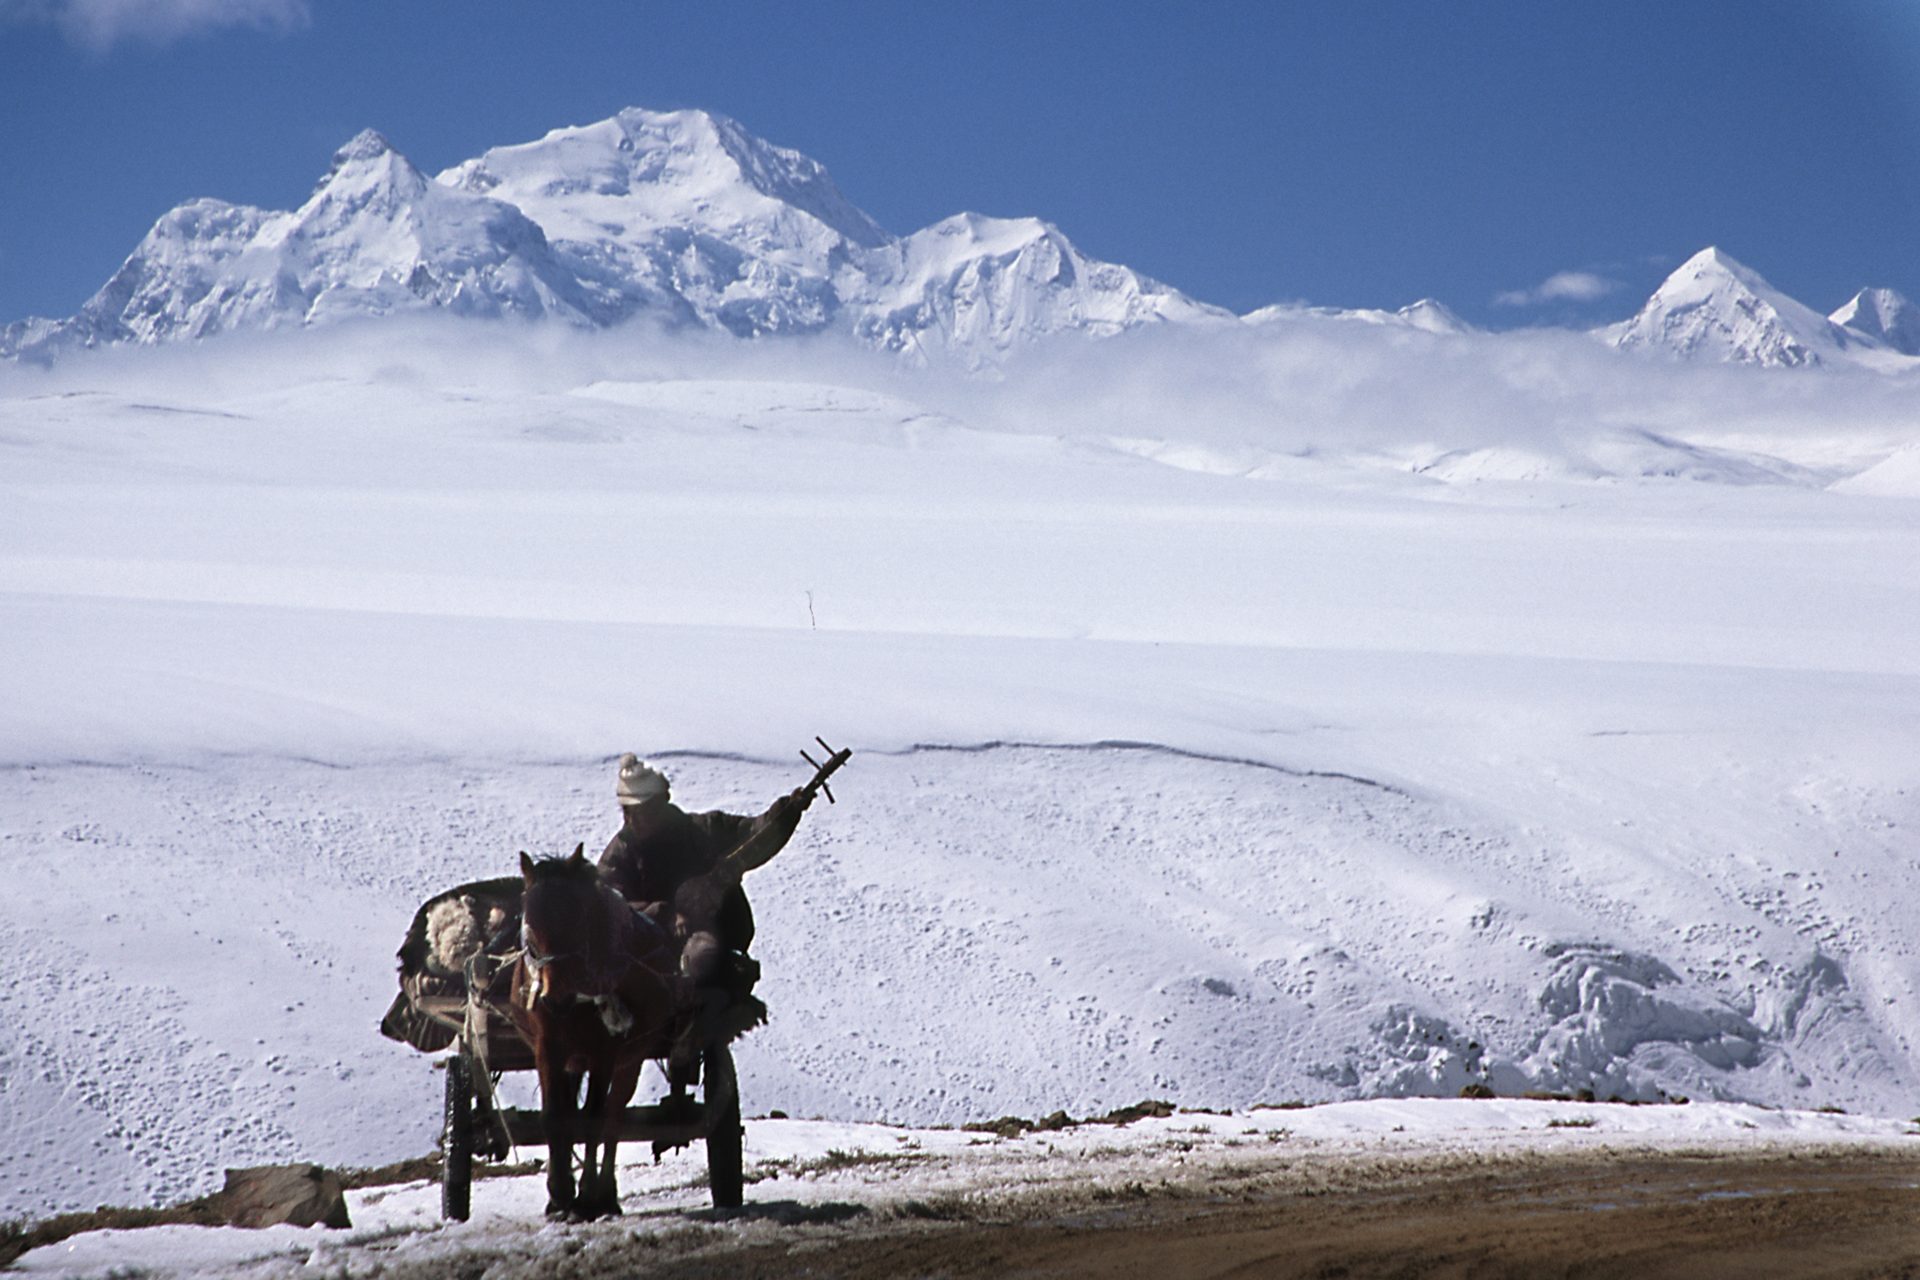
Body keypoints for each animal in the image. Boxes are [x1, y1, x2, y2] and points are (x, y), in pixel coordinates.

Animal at [510, 844, 675, 1220]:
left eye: (579, 920)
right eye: (530, 927)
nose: (556, 999)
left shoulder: (605, 1053)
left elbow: (595, 1119)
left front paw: (585, 1196)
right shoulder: (548, 1047)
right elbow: (556, 1116)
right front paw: (559, 1195)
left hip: (631, 1058)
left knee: (614, 1117)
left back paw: (605, 1195)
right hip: (574, 1059)